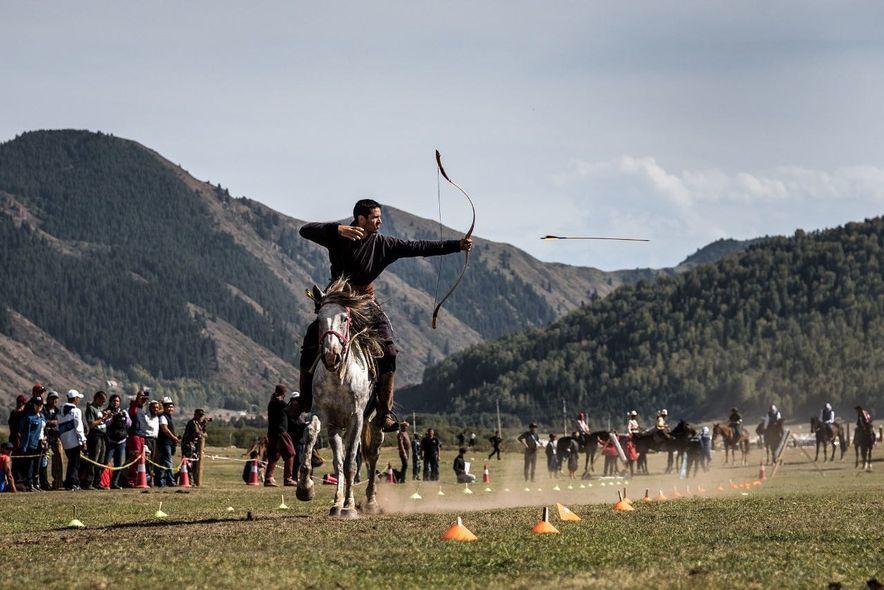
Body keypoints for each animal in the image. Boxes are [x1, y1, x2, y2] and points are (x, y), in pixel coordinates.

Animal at [296, 280, 386, 520]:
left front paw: (349, 507)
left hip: (374, 422)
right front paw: (306, 488)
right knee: (342, 459)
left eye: (345, 318)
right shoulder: (324, 415)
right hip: (337, 426)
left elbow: (351, 464)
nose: (330, 356)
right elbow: (321, 446)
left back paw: (371, 502)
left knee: (372, 456)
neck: (340, 376)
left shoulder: (357, 418)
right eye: (319, 319)